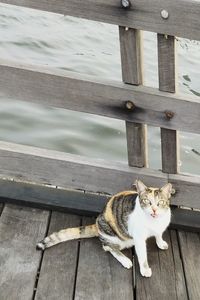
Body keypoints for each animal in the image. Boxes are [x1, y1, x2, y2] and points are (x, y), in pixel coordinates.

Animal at [36, 179, 173, 278]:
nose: (154, 210)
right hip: (116, 237)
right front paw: (145, 270)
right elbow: (143, 256)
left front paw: (161, 243)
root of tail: (97, 223)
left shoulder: (160, 228)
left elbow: (159, 235)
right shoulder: (139, 239)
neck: (154, 222)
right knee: (107, 247)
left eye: (161, 202)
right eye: (146, 201)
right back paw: (126, 260)